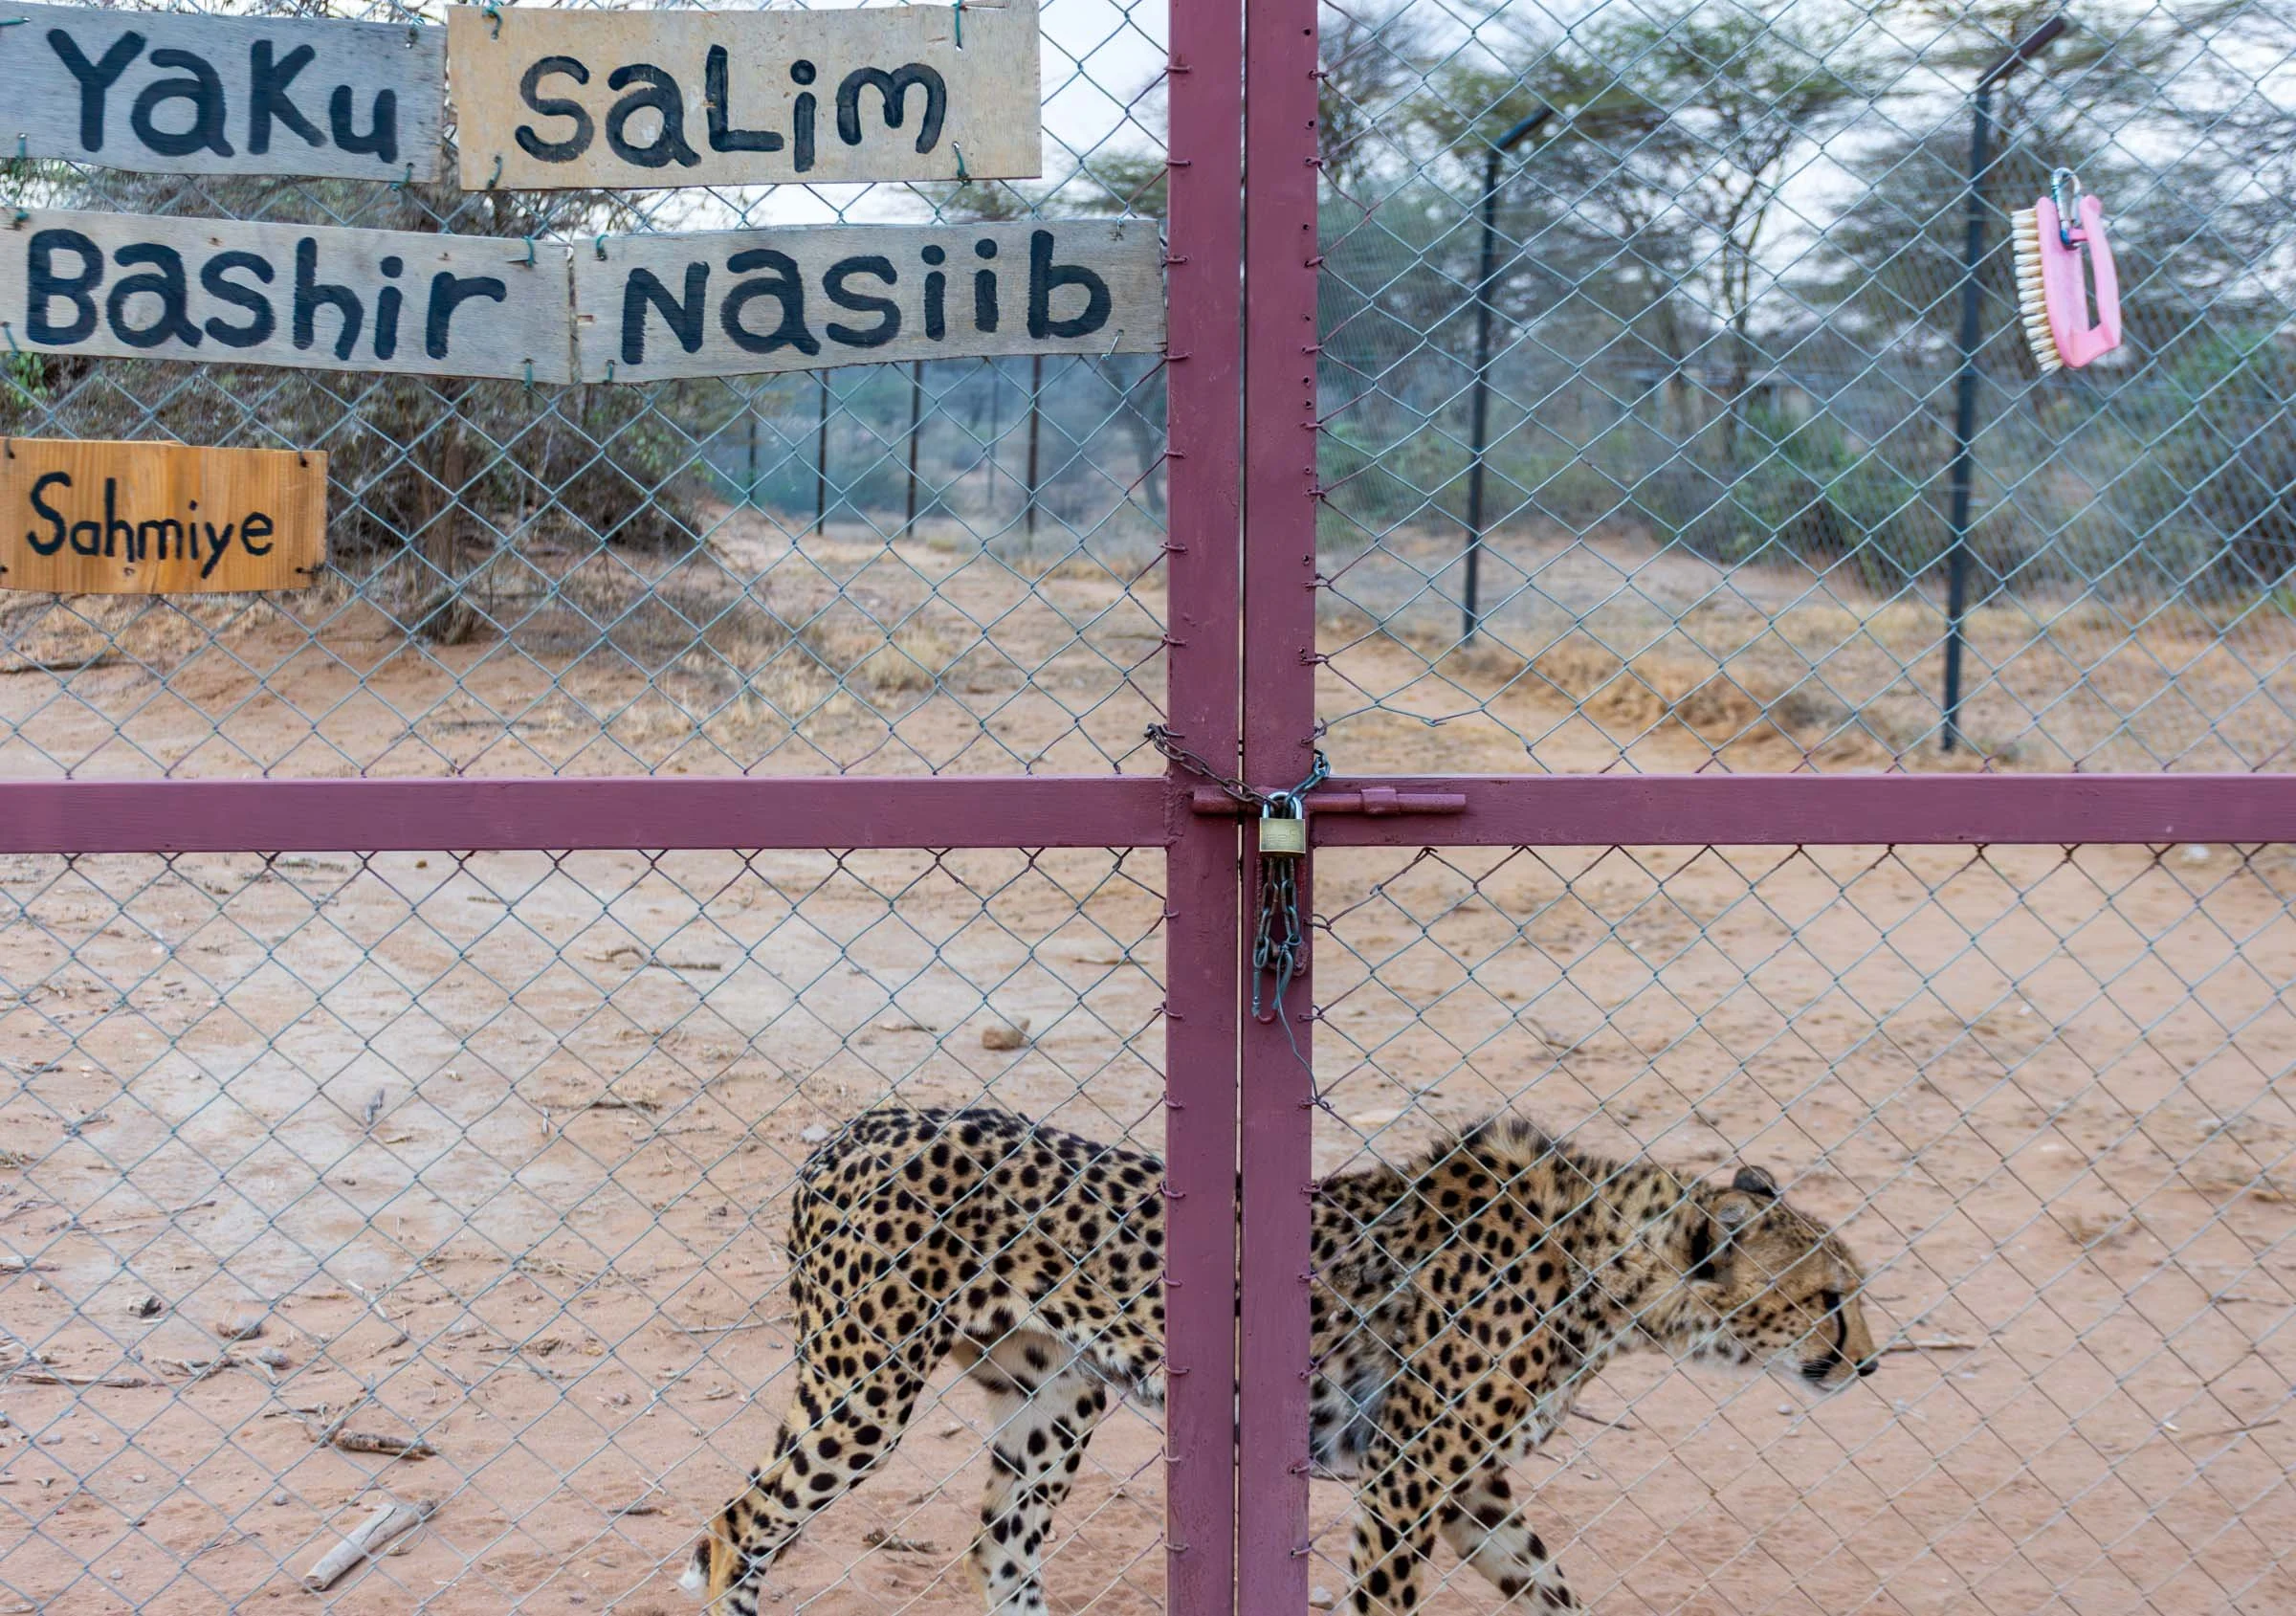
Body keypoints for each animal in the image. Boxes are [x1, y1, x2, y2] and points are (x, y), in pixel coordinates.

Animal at [685, 1106, 1877, 1615]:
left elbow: (1552, 1591)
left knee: (1000, 1553)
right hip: (865, 1388)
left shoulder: (1474, 1489)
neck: (1607, 1273)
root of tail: (855, 1128)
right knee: (739, 1523)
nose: (1868, 1366)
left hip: (1052, 1397)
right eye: (1830, 1299)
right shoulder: (1410, 1476)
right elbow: (1385, 1606)